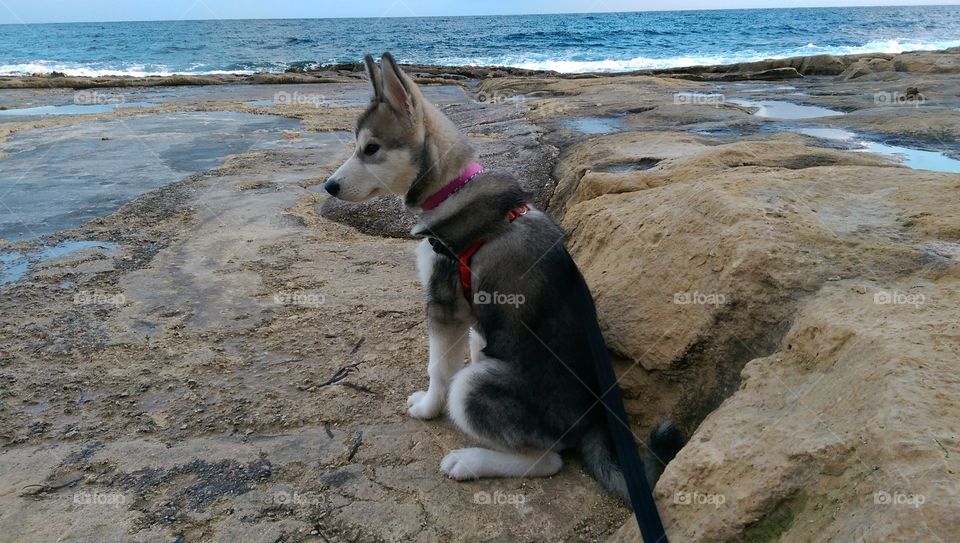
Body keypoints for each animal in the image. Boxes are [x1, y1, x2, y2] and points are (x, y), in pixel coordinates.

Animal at [326, 53, 680, 500]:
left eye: (371, 149)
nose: (329, 186)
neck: (451, 189)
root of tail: (591, 420)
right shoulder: (474, 319)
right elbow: (469, 347)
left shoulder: (444, 308)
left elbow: (438, 369)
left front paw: (428, 407)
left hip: (475, 386)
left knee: (547, 460)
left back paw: (469, 461)